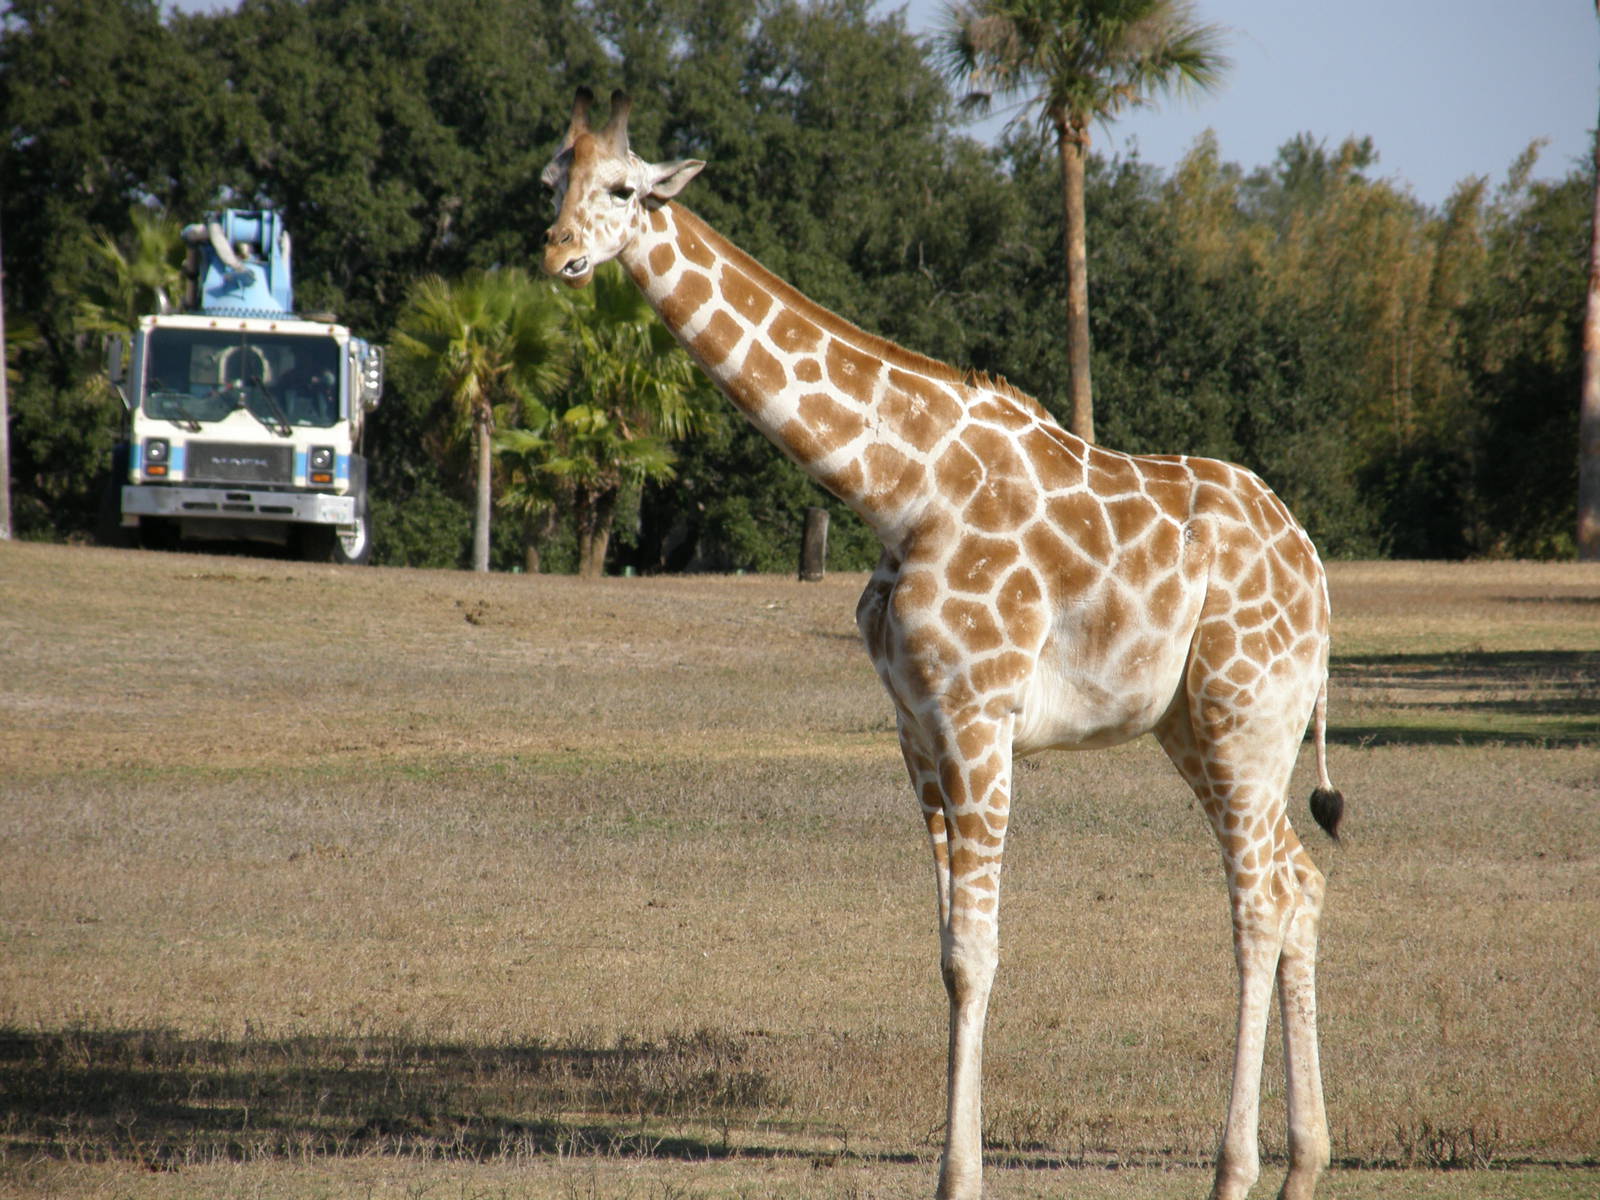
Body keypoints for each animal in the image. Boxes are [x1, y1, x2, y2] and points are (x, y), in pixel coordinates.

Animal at [540, 89, 1345, 1200]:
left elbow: (978, 949)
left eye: (622, 189)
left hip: (1242, 711)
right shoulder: (916, 727)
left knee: (1259, 901)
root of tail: (1313, 568)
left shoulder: (977, 713)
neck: (896, 489)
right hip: (1200, 723)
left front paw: (958, 1175)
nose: (556, 255)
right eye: (549, 181)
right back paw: (1305, 1163)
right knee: (1299, 882)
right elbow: (946, 950)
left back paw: (1235, 1170)